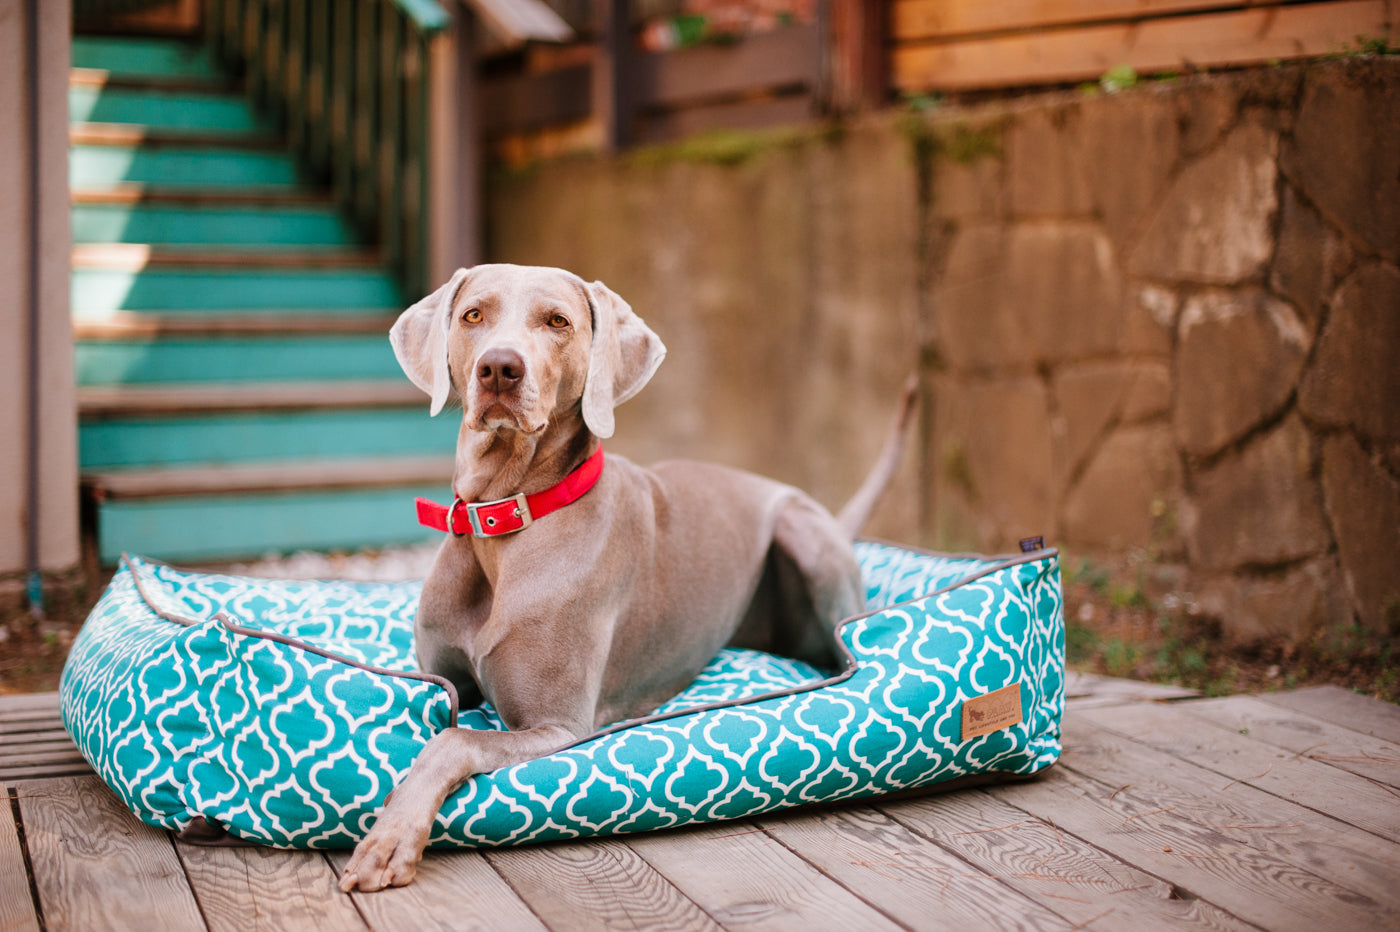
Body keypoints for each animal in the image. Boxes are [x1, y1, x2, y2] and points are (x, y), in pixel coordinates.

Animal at [333, 264, 912, 890]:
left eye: (557, 321)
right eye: (473, 315)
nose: (499, 368)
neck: (507, 520)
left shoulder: (558, 727)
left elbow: (452, 737)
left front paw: (389, 839)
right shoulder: (448, 680)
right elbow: (442, 714)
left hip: (801, 530)